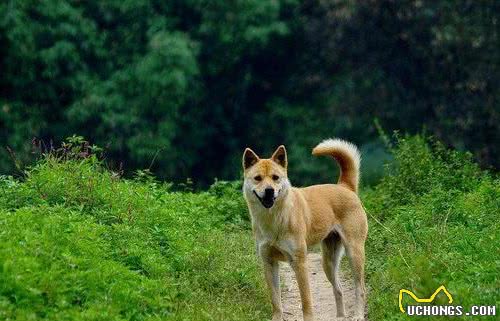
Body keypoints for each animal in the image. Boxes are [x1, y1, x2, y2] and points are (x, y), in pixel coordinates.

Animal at [242, 139, 368, 320]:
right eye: (257, 178)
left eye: (275, 178)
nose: (269, 191)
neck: (274, 219)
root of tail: (345, 187)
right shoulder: (269, 263)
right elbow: (275, 300)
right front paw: (277, 317)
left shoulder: (299, 262)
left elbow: (306, 300)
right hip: (328, 262)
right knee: (338, 289)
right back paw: (340, 316)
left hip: (354, 252)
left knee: (360, 288)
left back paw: (358, 314)